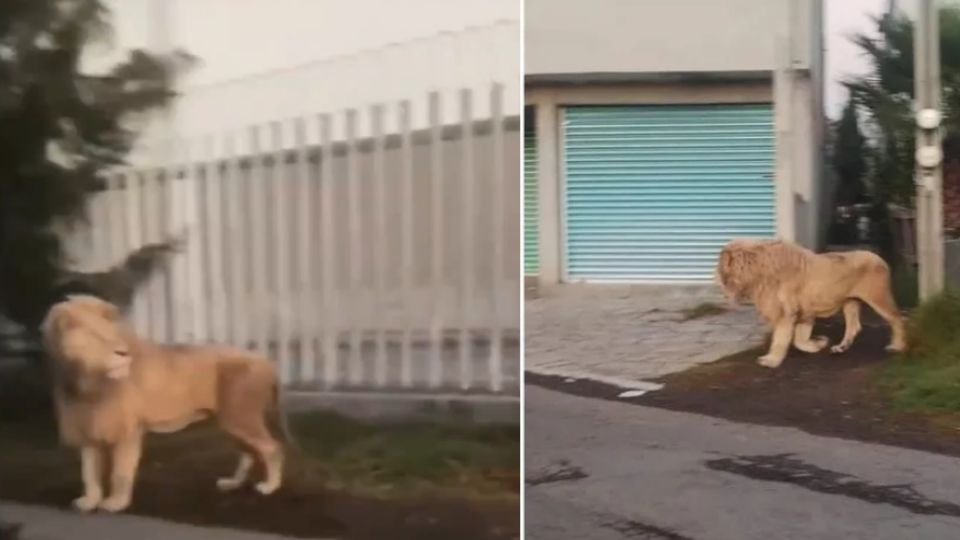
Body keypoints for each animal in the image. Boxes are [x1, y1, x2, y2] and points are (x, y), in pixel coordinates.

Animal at [40, 298, 284, 512]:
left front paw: (116, 503)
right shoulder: (87, 427)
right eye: (97, 335)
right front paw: (89, 501)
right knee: (248, 453)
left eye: (114, 334)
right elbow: (89, 473)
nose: (123, 353)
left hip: (240, 417)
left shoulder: (128, 430)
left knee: (272, 448)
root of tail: (266, 361)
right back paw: (232, 483)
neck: (86, 382)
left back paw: (270, 487)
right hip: (231, 421)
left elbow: (120, 472)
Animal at [712, 238, 908, 370]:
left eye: (721, 265)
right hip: (850, 302)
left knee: (897, 318)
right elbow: (799, 340)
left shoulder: (786, 313)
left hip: (878, 297)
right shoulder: (805, 313)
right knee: (854, 326)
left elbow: (780, 339)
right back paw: (841, 347)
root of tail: (881, 259)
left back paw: (897, 346)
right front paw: (819, 344)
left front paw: (771, 360)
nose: (716, 279)